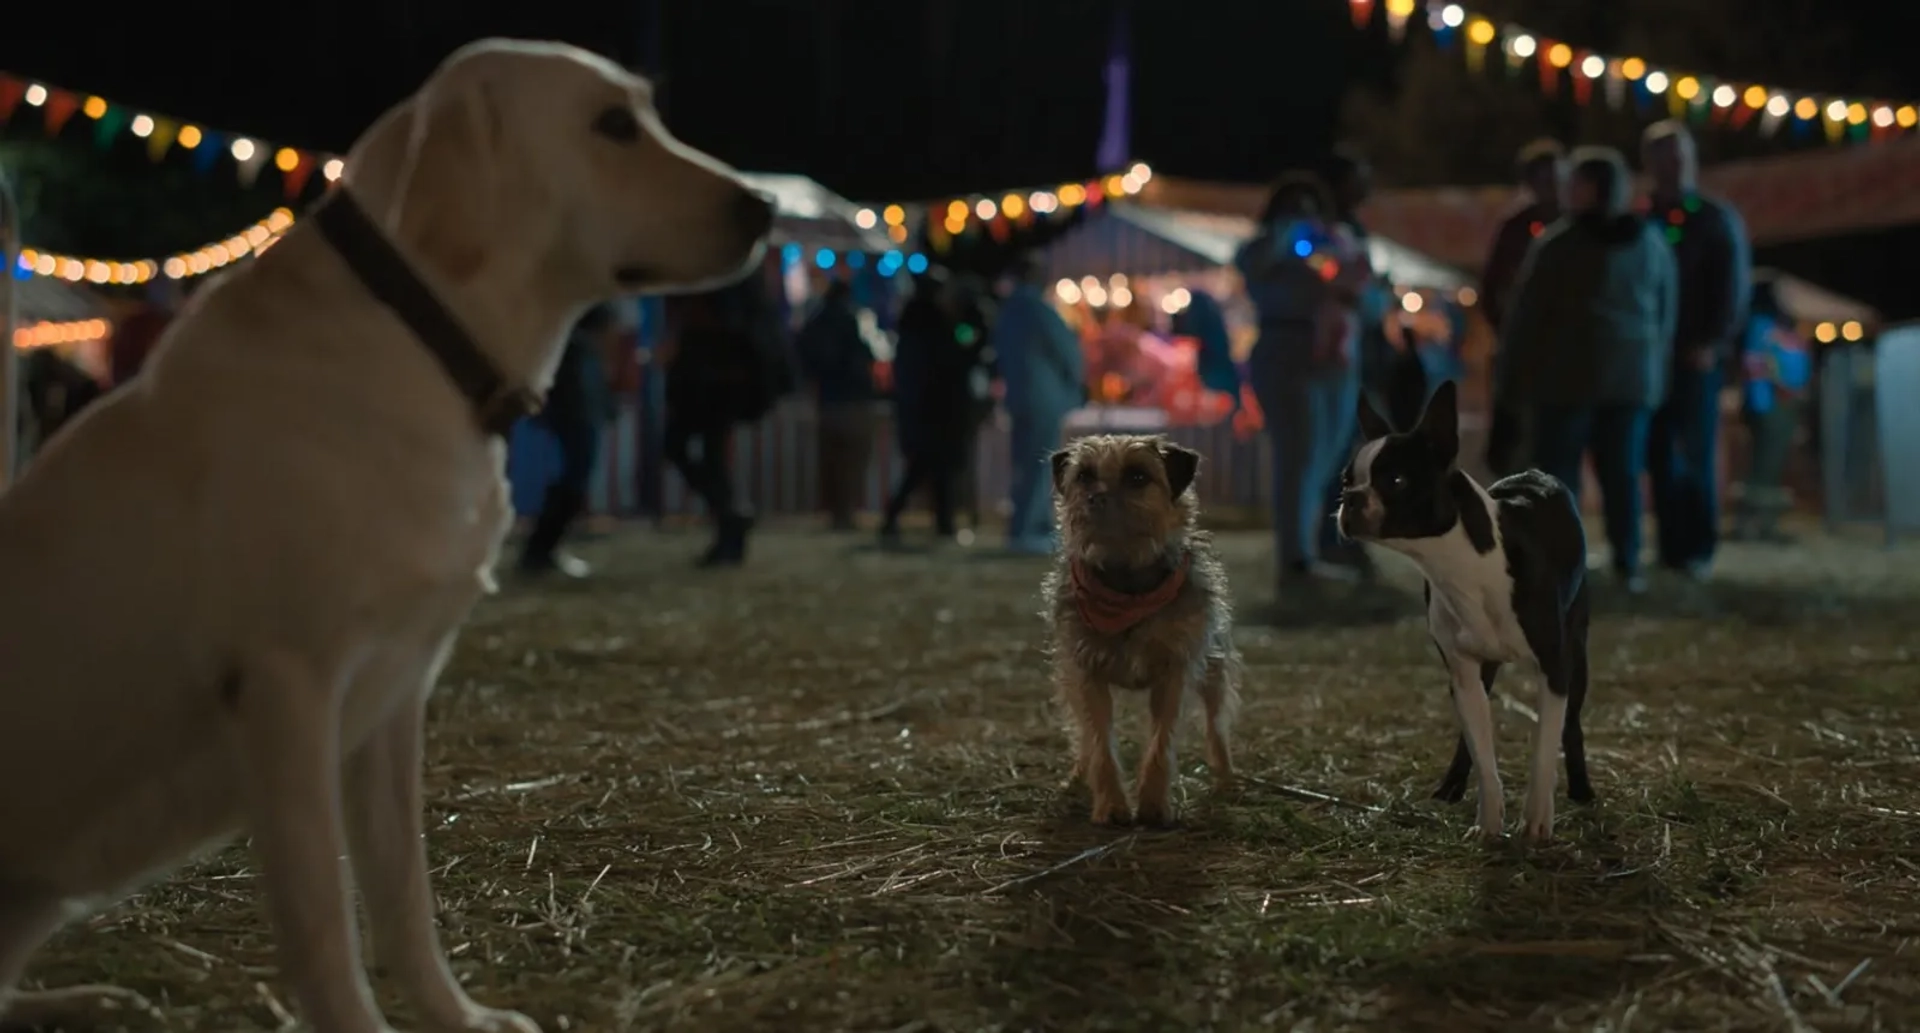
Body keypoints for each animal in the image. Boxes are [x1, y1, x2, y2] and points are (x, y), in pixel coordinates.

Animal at [0, 36, 771, 1021]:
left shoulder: (395, 693)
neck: (421, 334)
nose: (766, 209)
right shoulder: (285, 687)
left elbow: (404, 894)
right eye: (612, 126)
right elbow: (326, 921)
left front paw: (461, 1016)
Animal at [1044, 430, 1236, 825]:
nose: (1096, 497)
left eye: (1137, 476)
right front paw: (1112, 805)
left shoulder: (1175, 672)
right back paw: (1077, 776)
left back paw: (1225, 778)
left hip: (1215, 669)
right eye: (1084, 476)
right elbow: (1097, 739)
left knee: (1216, 724)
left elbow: (1163, 739)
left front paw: (1153, 804)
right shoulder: (1085, 673)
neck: (1126, 584)